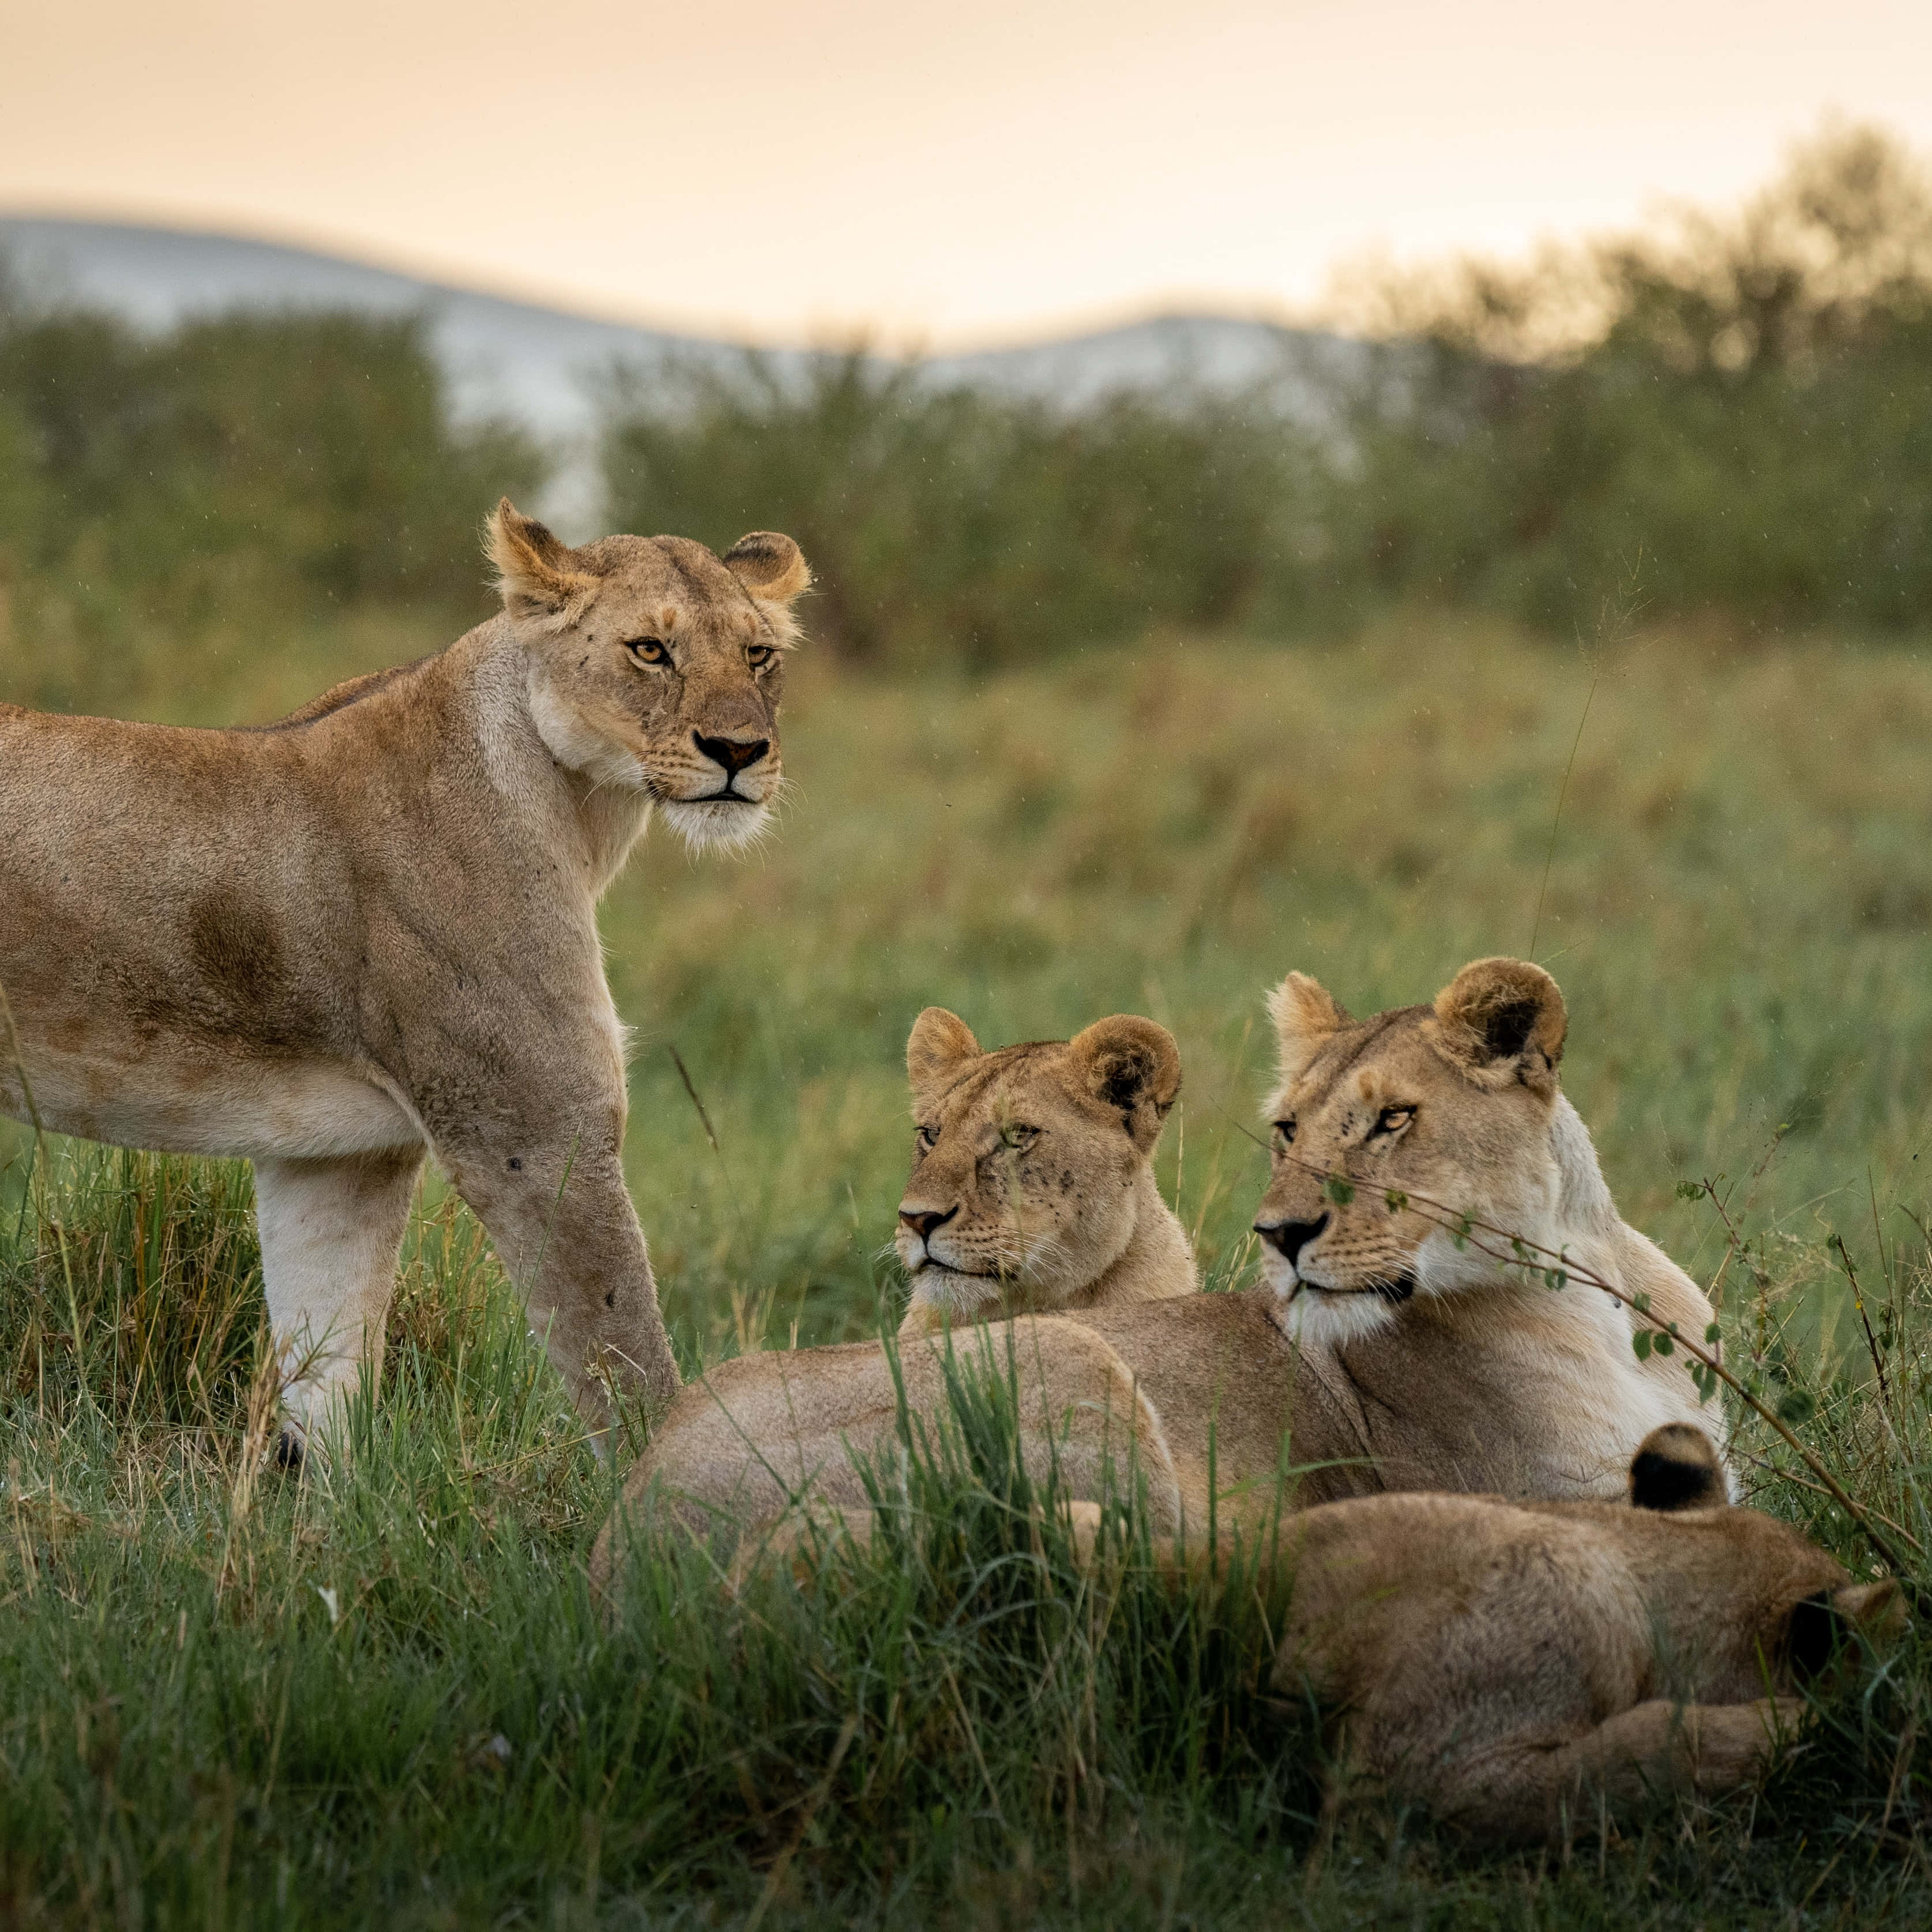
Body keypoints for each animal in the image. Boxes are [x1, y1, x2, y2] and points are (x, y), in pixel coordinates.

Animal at [0, 500, 810, 1458]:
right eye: (650, 649)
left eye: (757, 654)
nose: (739, 749)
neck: (579, 815)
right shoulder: (534, 1133)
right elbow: (628, 1366)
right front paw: (672, 1490)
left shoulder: (337, 1159)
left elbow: (327, 1374)